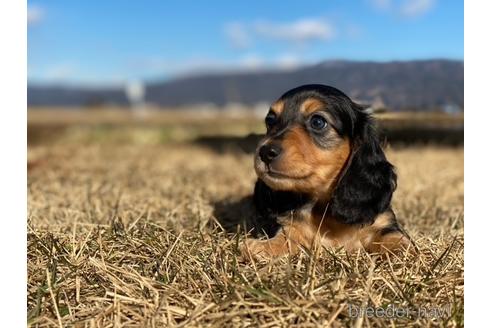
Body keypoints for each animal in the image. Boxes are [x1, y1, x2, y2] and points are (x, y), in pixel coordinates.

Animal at [242, 86, 412, 260]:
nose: (265, 152)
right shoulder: (292, 227)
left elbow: (395, 238)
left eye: (317, 122)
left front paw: (406, 249)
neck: (324, 206)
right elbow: (284, 239)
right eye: (270, 121)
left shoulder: (383, 222)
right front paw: (259, 247)